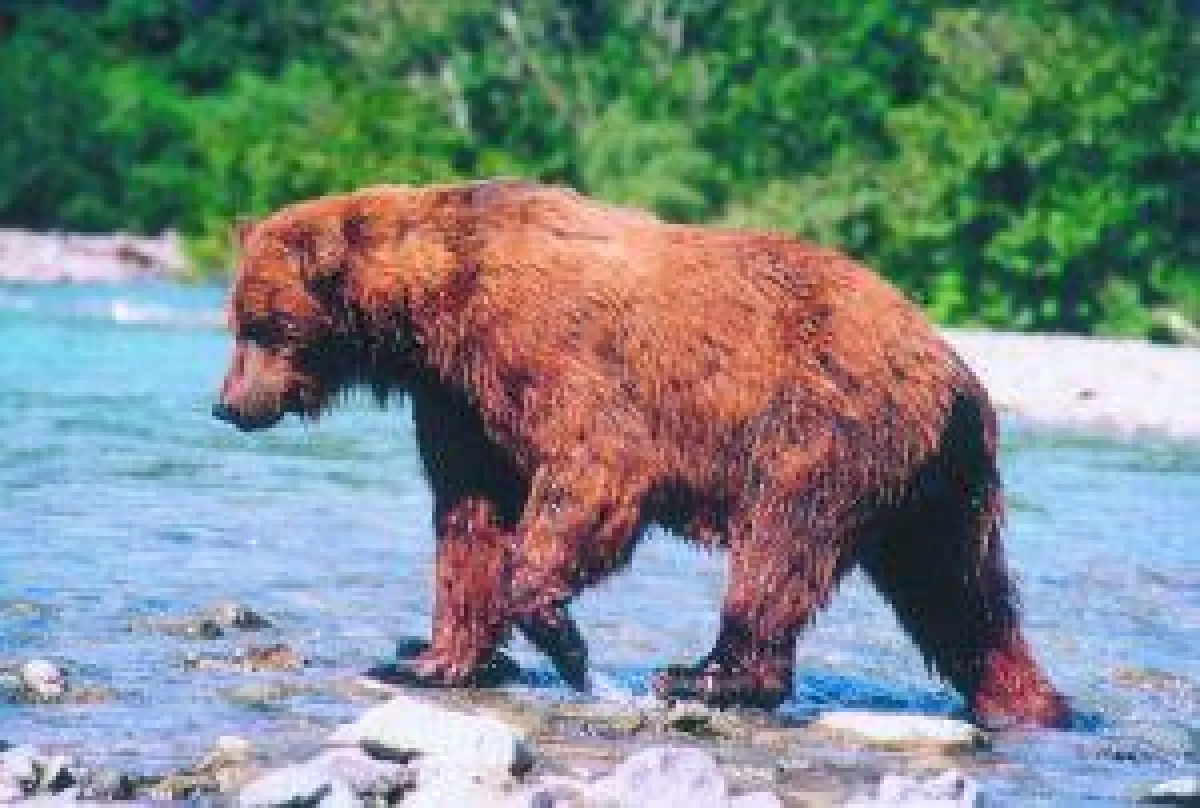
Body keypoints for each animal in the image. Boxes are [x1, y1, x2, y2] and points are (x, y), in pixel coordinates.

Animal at [213, 179, 1068, 727]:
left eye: (263, 326)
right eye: (238, 323)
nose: (228, 406)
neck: (437, 308)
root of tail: (957, 369)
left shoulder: (553, 350)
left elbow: (594, 474)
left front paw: (559, 633)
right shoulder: (460, 401)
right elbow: (468, 520)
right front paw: (429, 656)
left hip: (827, 430)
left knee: (780, 551)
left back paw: (706, 675)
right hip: (936, 484)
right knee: (960, 594)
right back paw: (1029, 702)